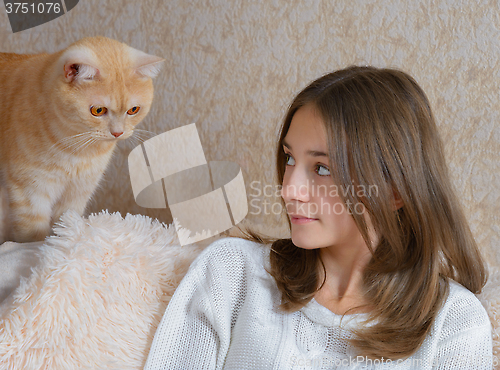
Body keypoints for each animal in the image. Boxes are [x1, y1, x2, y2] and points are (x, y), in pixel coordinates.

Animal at [0, 37, 164, 243]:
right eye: (98, 110)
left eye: (133, 110)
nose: (118, 132)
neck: (76, 148)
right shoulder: (29, 192)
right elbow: (33, 235)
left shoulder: (78, 192)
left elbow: (66, 224)